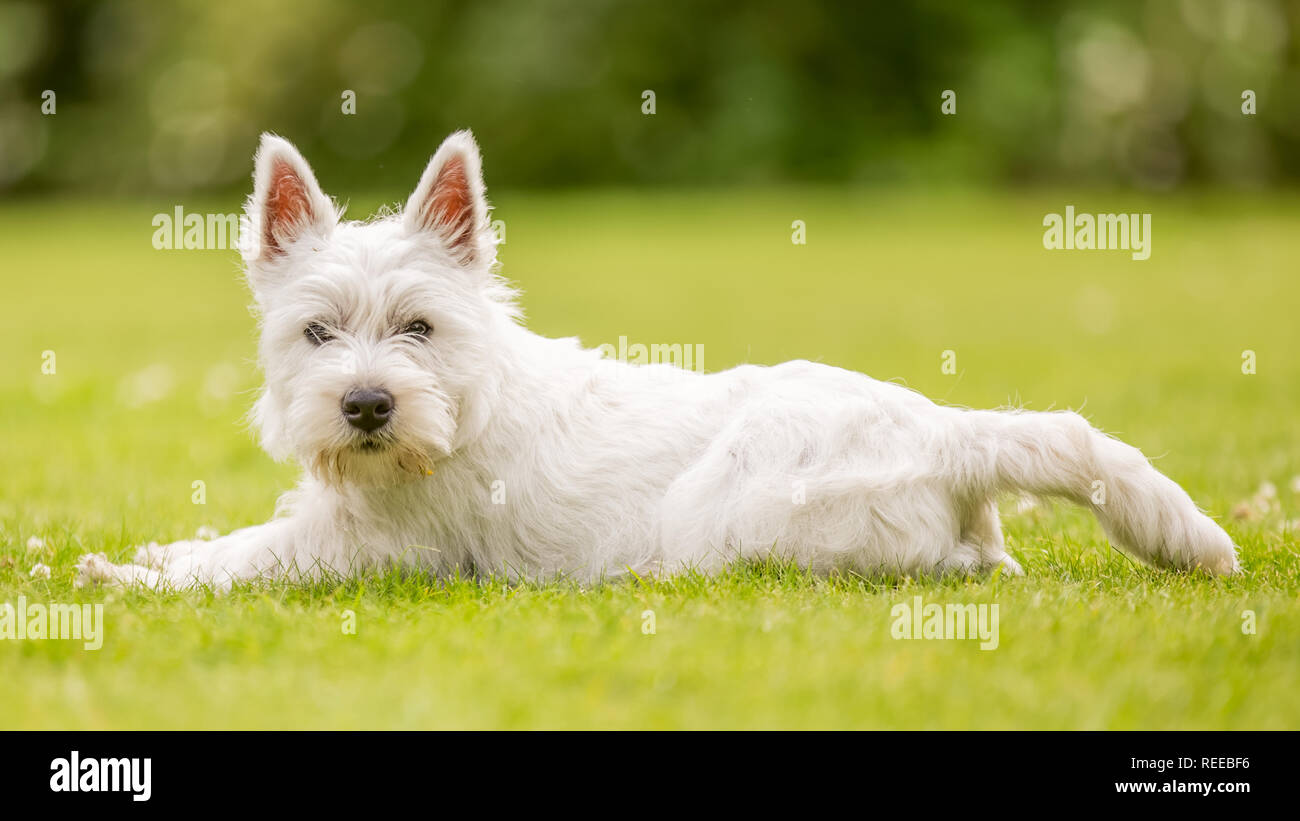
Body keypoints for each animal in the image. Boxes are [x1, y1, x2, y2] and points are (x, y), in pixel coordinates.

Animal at [76, 131, 1232, 587]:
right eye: (316, 333)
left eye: (419, 327)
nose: (365, 405)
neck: (458, 410)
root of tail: (950, 429)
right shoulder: (332, 521)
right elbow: (219, 539)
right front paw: (136, 554)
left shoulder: (367, 552)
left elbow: (236, 565)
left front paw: (123, 580)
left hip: (745, 516)